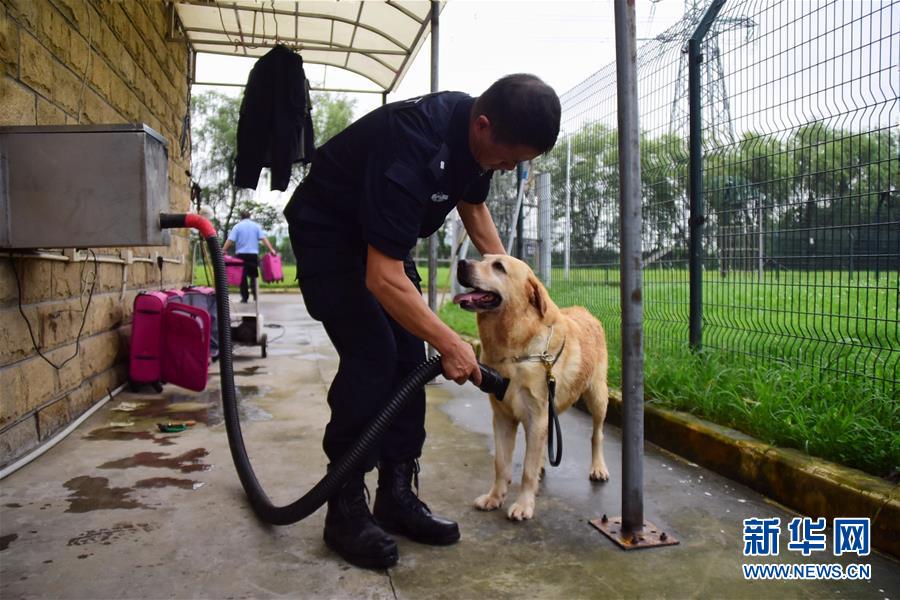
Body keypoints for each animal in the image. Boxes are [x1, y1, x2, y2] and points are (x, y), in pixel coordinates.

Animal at [454, 255, 608, 524]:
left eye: (499, 266)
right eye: (483, 259)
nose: (461, 262)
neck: (514, 351)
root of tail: (585, 311)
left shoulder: (536, 417)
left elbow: (527, 468)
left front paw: (524, 505)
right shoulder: (503, 417)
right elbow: (501, 463)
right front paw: (495, 497)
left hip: (598, 396)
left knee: (596, 435)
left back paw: (598, 467)